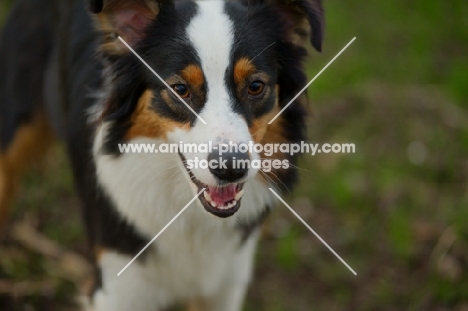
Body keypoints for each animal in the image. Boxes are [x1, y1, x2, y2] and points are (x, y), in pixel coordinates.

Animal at [0, 0, 322, 310]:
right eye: (179, 89)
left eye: (256, 86)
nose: (231, 168)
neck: (187, 212)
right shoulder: (118, 287)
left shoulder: (225, 284)